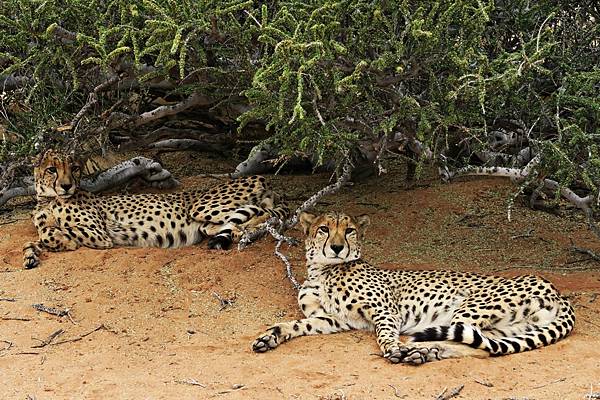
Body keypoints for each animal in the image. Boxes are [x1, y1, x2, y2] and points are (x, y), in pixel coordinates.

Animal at [21, 150, 288, 268]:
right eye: (52, 169)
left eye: (74, 168)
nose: (67, 185)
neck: (49, 199)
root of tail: (263, 179)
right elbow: (35, 239)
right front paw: (30, 256)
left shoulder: (99, 234)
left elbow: (48, 233)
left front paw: (63, 241)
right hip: (207, 224)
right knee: (244, 221)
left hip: (203, 206)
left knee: (264, 214)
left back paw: (245, 232)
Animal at [251, 211, 576, 364]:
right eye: (323, 229)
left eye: (350, 231)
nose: (337, 247)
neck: (322, 271)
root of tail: (553, 288)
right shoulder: (335, 319)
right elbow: (295, 324)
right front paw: (270, 336)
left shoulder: (386, 312)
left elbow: (384, 335)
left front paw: (394, 348)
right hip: (508, 328)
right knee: (485, 348)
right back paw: (424, 353)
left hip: (468, 307)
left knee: (470, 343)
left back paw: (418, 351)